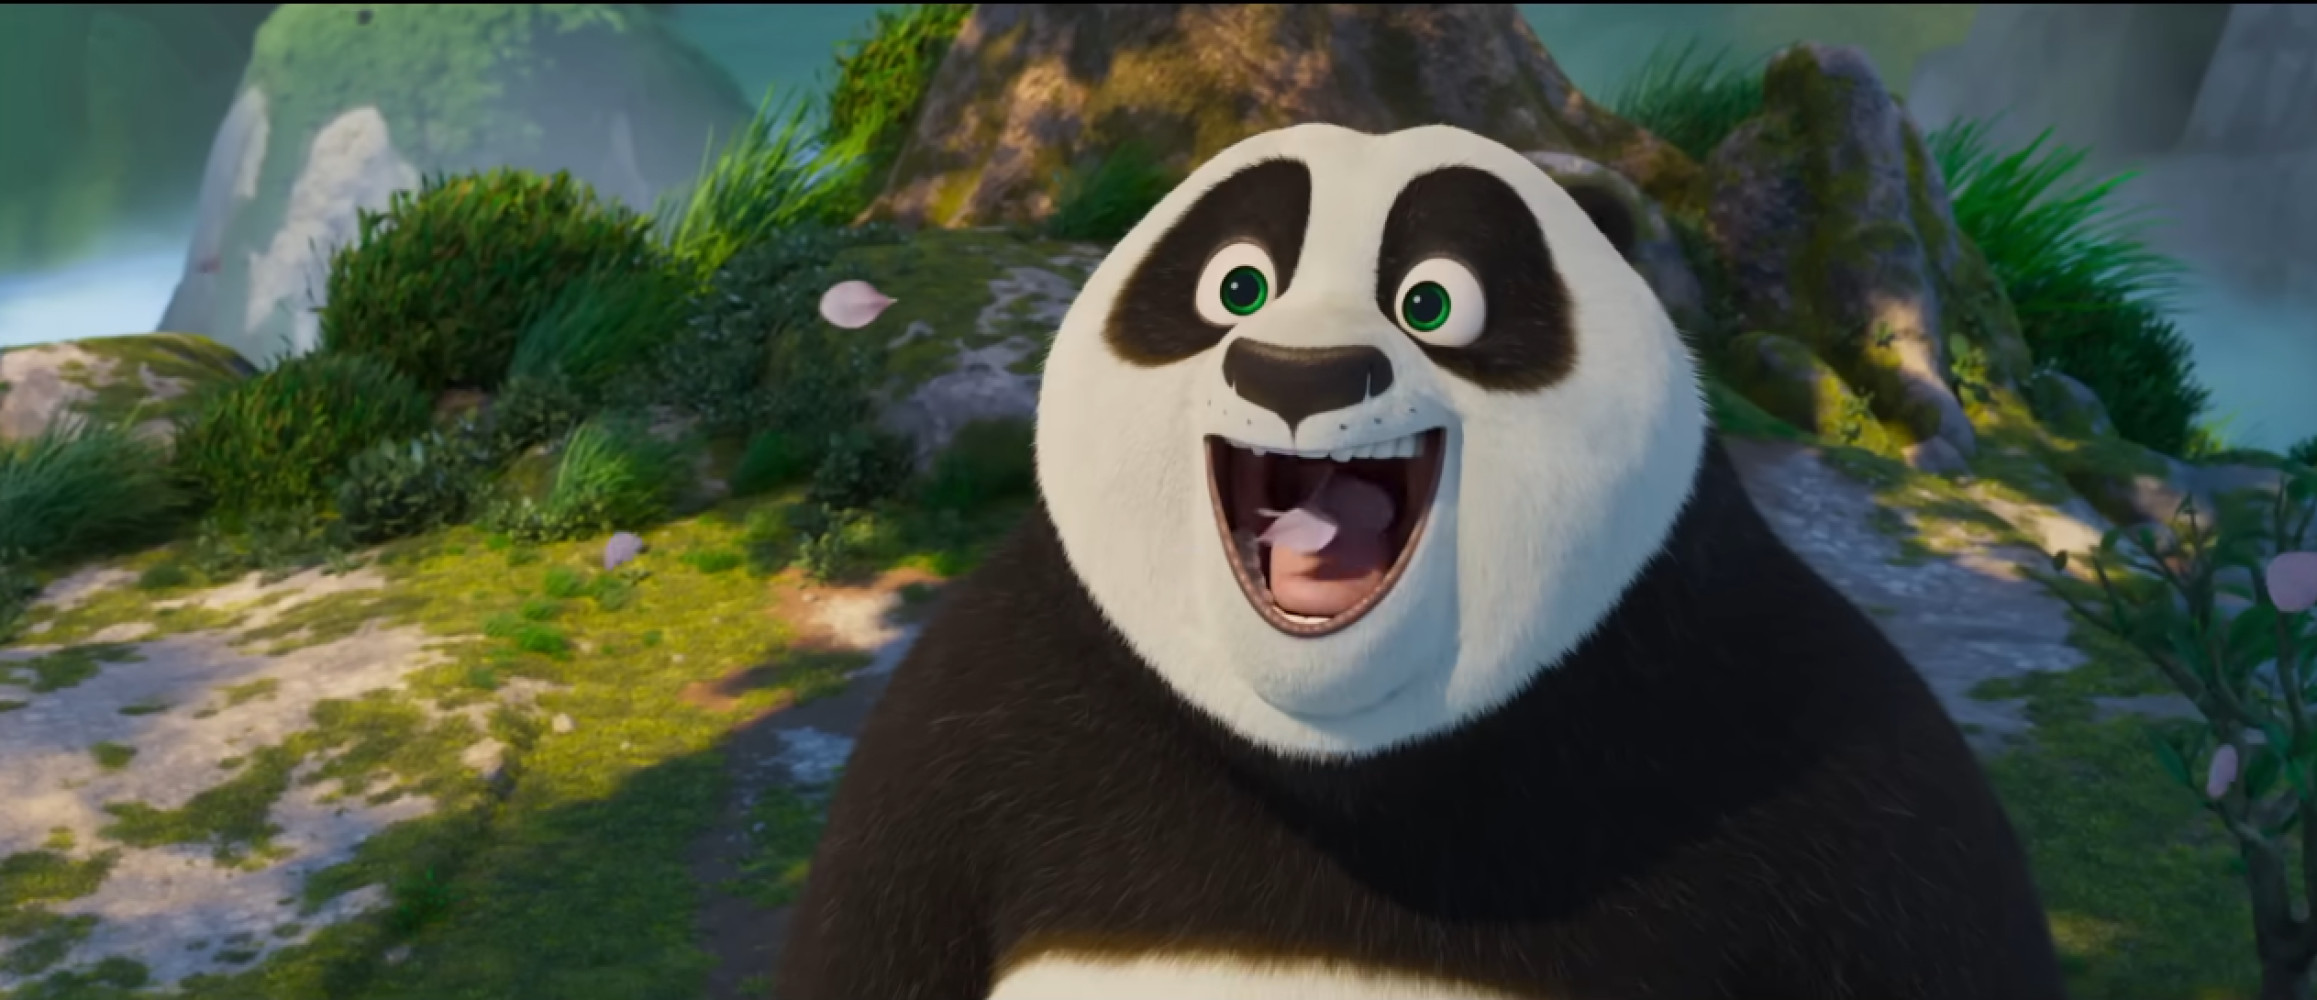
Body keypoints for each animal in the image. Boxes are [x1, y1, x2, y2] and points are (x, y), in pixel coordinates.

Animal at [773, 122, 2068, 999]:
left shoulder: (1812, 747)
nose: (1297, 375)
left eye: (1433, 302)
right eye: (1236, 283)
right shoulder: (971, 726)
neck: (1335, 754)